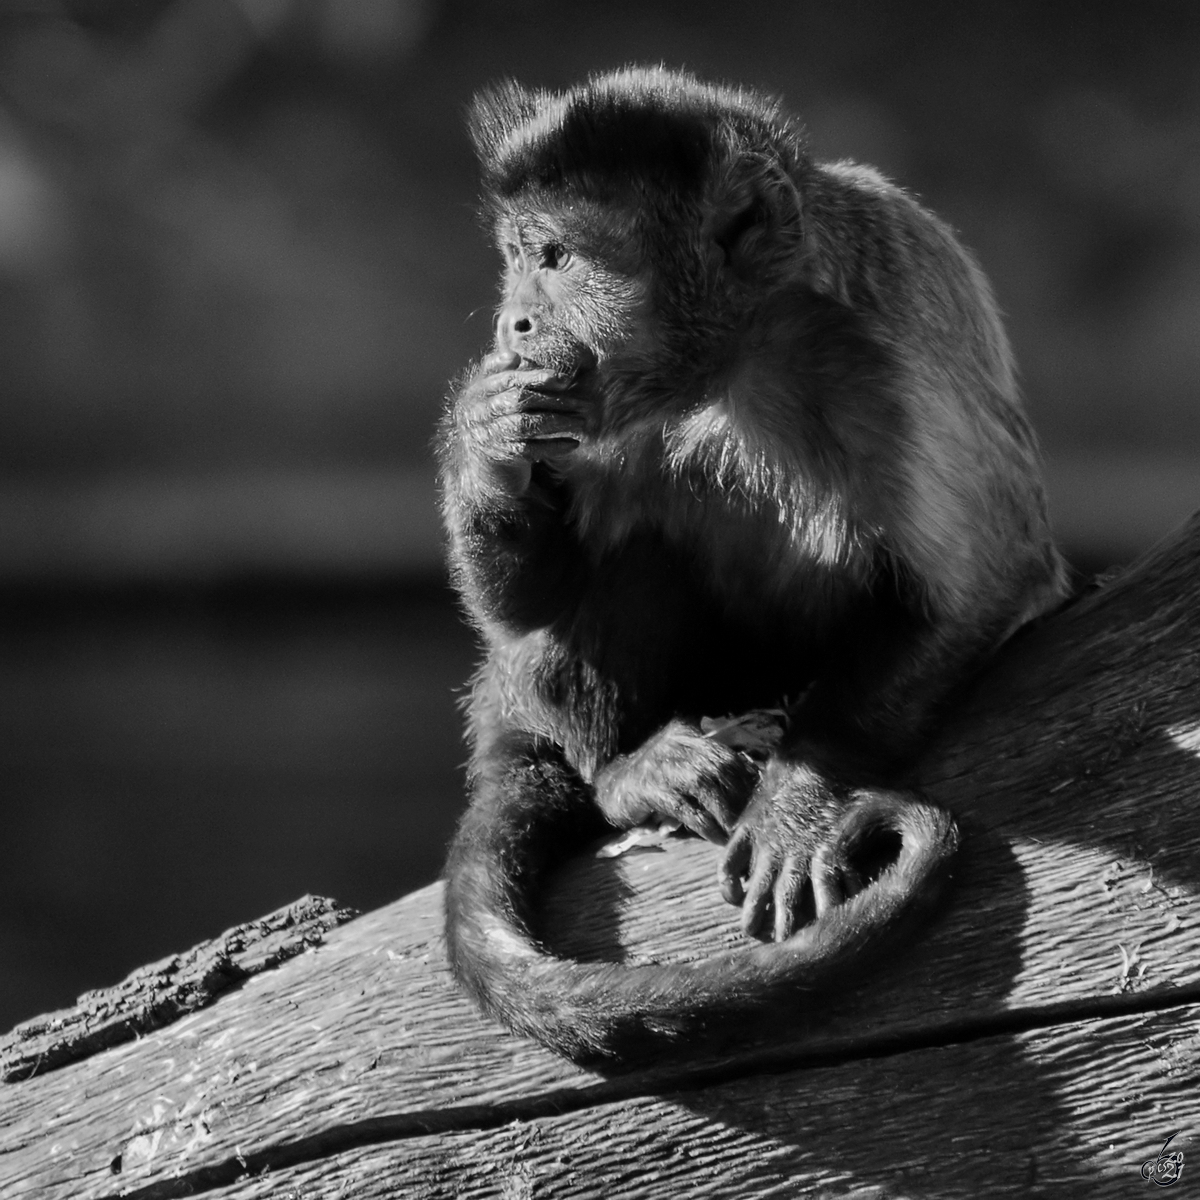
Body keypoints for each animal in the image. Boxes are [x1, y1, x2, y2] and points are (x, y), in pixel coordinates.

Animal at [434, 65, 1070, 1060]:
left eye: (557, 256)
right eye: (517, 256)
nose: (514, 319)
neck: (734, 360)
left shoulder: (888, 345)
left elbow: (991, 584)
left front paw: (802, 793)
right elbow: (532, 600)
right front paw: (487, 437)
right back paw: (624, 771)